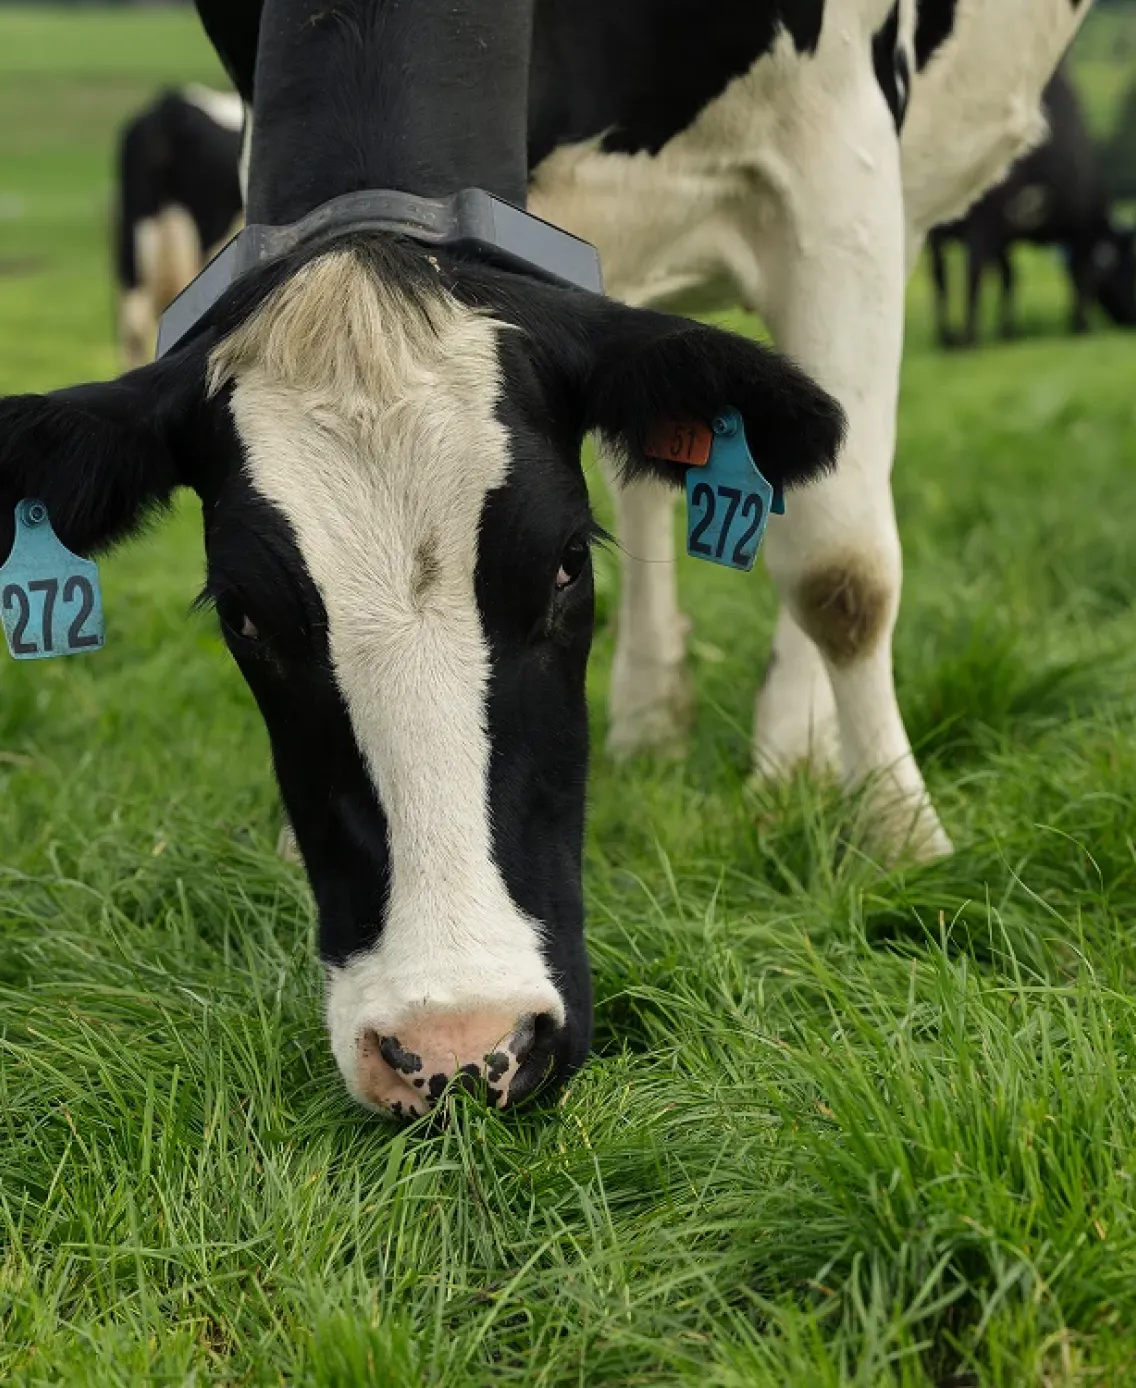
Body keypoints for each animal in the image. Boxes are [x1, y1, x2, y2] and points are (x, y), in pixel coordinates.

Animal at [928, 63, 1136, 347]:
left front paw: (1007, 331)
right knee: (971, 271)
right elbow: (1082, 276)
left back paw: (947, 338)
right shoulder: (1078, 230)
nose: (1132, 321)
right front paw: (1080, 327)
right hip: (978, 219)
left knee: (940, 276)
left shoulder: (1003, 238)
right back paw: (968, 338)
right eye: (1132, 265)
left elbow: (1008, 275)